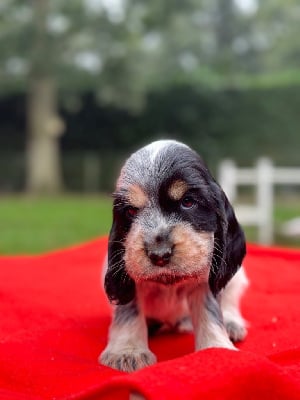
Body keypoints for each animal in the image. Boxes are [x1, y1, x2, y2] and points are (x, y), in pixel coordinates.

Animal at [99, 140, 247, 372]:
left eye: (188, 202)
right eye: (131, 212)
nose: (159, 254)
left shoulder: (205, 279)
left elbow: (210, 311)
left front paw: (216, 349)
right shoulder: (127, 273)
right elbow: (129, 311)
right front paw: (127, 351)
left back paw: (232, 324)